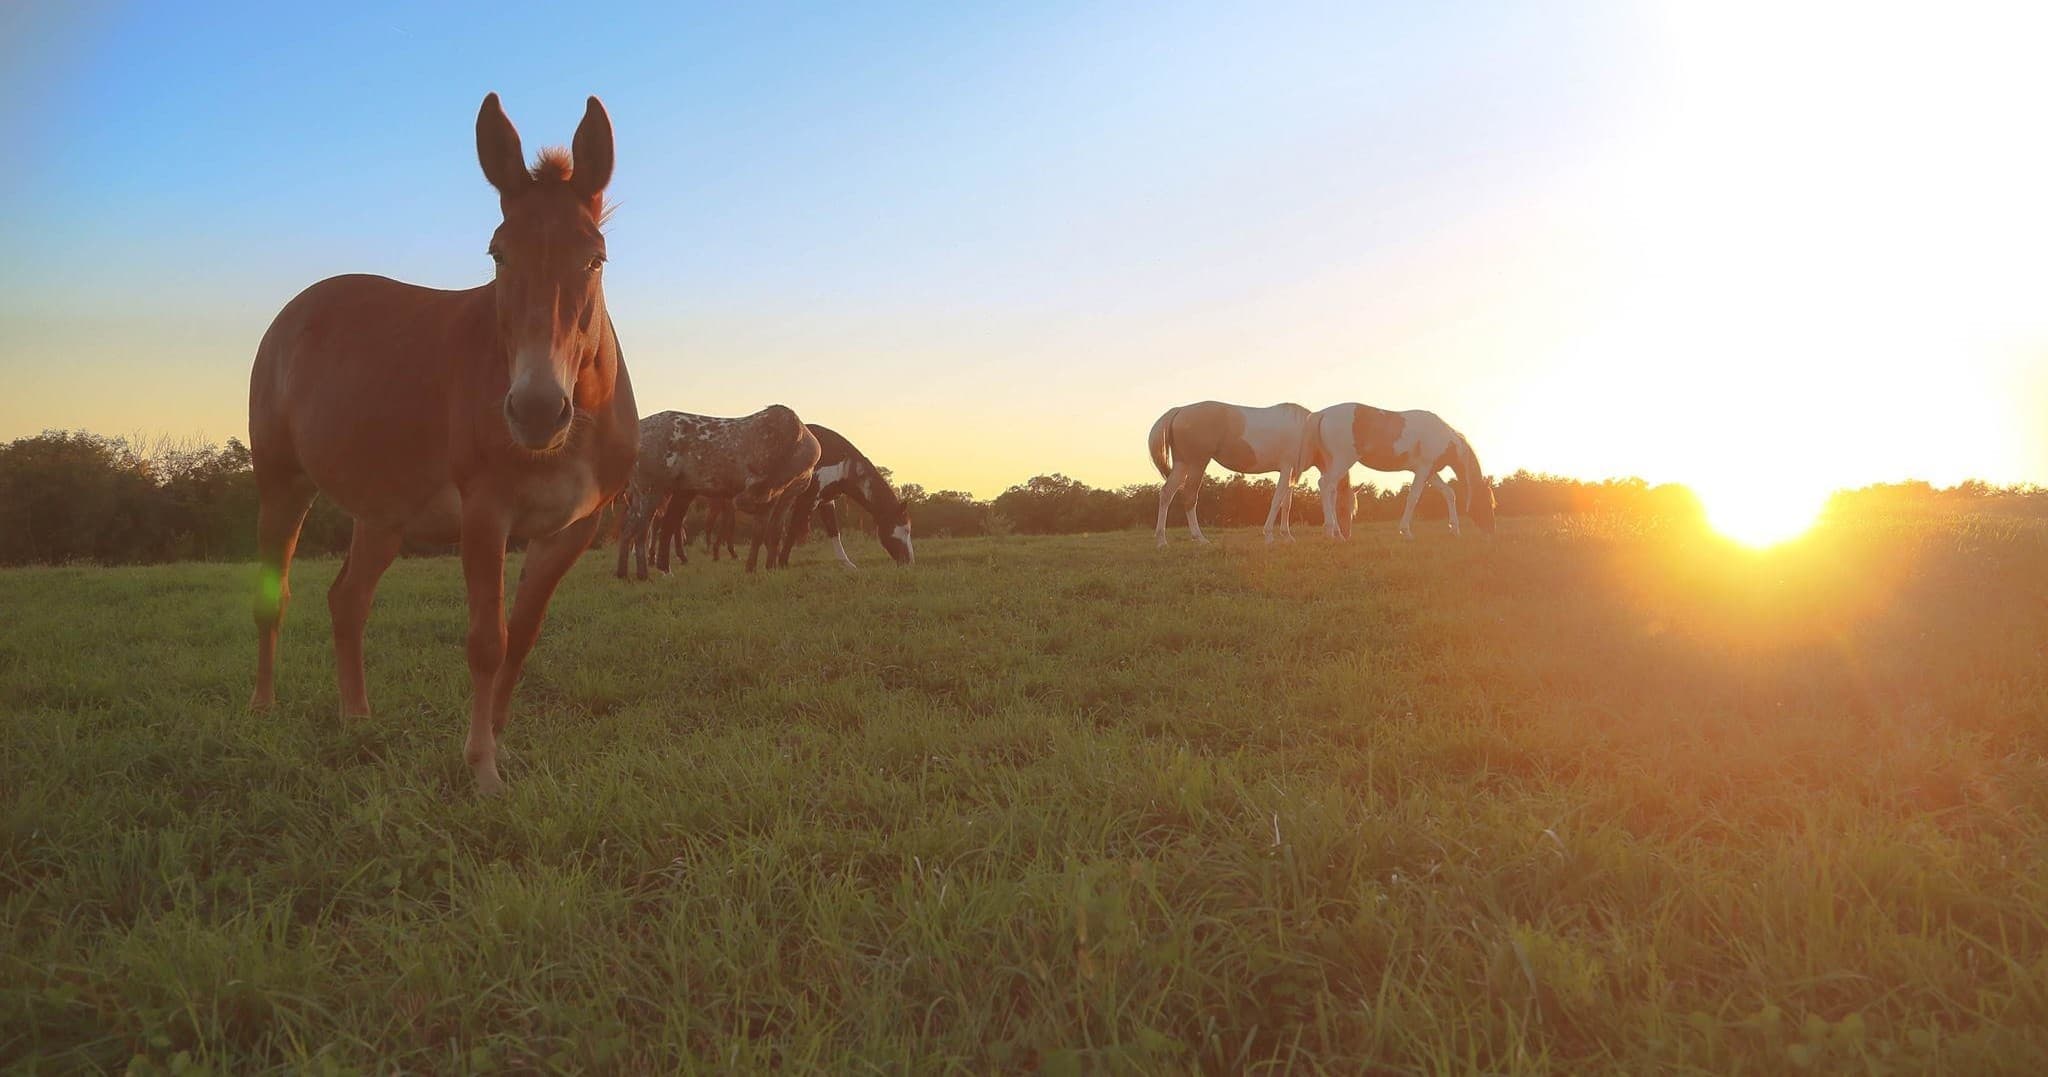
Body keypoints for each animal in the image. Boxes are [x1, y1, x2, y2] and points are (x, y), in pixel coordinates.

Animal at [247, 94, 635, 794]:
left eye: (596, 258)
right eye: (498, 253)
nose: (537, 410)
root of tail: (296, 311)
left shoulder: (573, 528)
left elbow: (523, 635)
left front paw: (501, 741)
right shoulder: (485, 516)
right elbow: (486, 642)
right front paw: (482, 768)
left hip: (383, 516)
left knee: (348, 601)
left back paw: (357, 719)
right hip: (282, 483)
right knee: (274, 595)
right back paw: (263, 708)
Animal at [614, 407, 820, 577]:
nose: (742, 501)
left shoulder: (786, 495)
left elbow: (771, 533)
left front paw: (766, 567)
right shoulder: (772, 496)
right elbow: (761, 533)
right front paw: (755, 567)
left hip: (642, 495)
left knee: (629, 529)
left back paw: (623, 573)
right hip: (652, 492)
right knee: (641, 531)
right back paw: (643, 574)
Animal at [770, 424, 913, 568]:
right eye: (906, 530)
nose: (909, 562)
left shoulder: (825, 501)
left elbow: (834, 531)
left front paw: (847, 564)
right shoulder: (806, 500)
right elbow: (793, 530)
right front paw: (782, 563)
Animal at [1147, 401, 1315, 546]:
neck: (1305, 429)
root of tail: (1180, 410)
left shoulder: (1292, 472)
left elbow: (1286, 504)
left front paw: (1287, 536)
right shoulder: (1287, 468)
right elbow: (1276, 501)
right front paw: (1269, 537)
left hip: (1182, 464)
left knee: (1167, 493)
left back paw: (1162, 541)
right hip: (1197, 464)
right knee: (1189, 497)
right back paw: (1200, 538)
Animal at [1303, 404, 1495, 539]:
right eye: (1488, 502)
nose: (1491, 531)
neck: (1443, 437)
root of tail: (1323, 413)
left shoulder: (1430, 472)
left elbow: (1449, 493)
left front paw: (1454, 530)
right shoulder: (1423, 470)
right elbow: (1413, 497)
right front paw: (1406, 531)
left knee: (1331, 490)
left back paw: (1336, 532)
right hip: (1342, 461)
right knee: (1325, 484)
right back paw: (1330, 530)